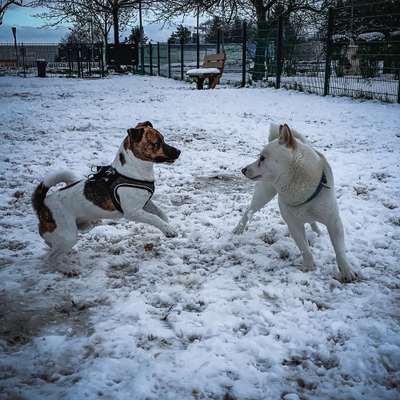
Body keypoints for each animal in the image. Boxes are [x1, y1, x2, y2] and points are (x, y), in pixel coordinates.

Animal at [32, 120, 180, 255]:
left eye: (163, 139)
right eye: (157, 143)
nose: (179, 151)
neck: (134, 172)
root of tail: (42, 204)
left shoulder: (146, 203)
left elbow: (160, 213)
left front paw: (169, 225)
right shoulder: (133, 212)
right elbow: (154, 218)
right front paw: (169, 230)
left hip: (79, 227)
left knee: (49, 242)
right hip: (67, 235)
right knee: (51, 255)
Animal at [234, 123, 356, 282]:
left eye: (262, 158)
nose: (243, 170)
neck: (299, 185)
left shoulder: (334, 222)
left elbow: (339, 250)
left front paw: (347, 271)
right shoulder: (293, 225)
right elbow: (304, 249)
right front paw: (309, 267)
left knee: (312, 221)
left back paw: (317, 232)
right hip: (263, 194)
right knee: (249, 211)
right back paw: (238, 229)